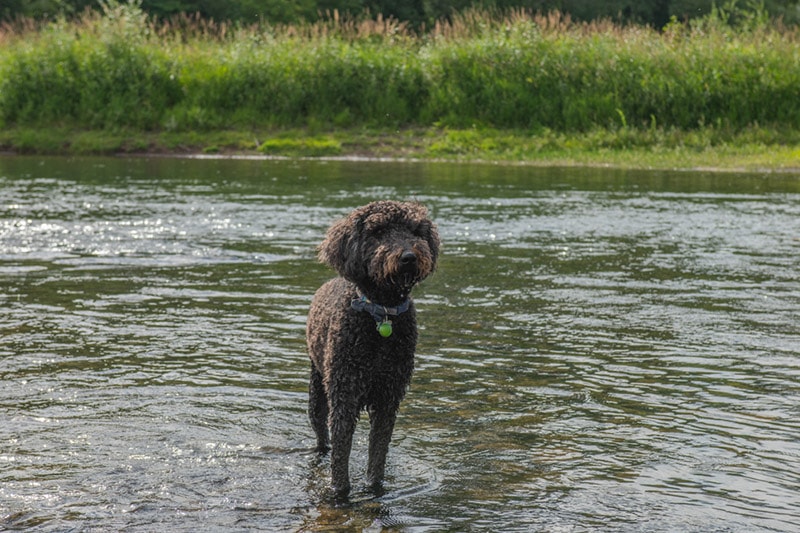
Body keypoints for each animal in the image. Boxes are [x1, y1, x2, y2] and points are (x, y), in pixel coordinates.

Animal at [308, 200, 444, 494]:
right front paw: (340, 492)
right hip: (317, 388)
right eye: (378, 232)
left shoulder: (388, 398)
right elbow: (341, 454)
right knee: (321, 433)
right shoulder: (345, 397)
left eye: (415, 231)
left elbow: (378, 452)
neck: (382, 313)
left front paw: (374, 487)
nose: (409, 256)